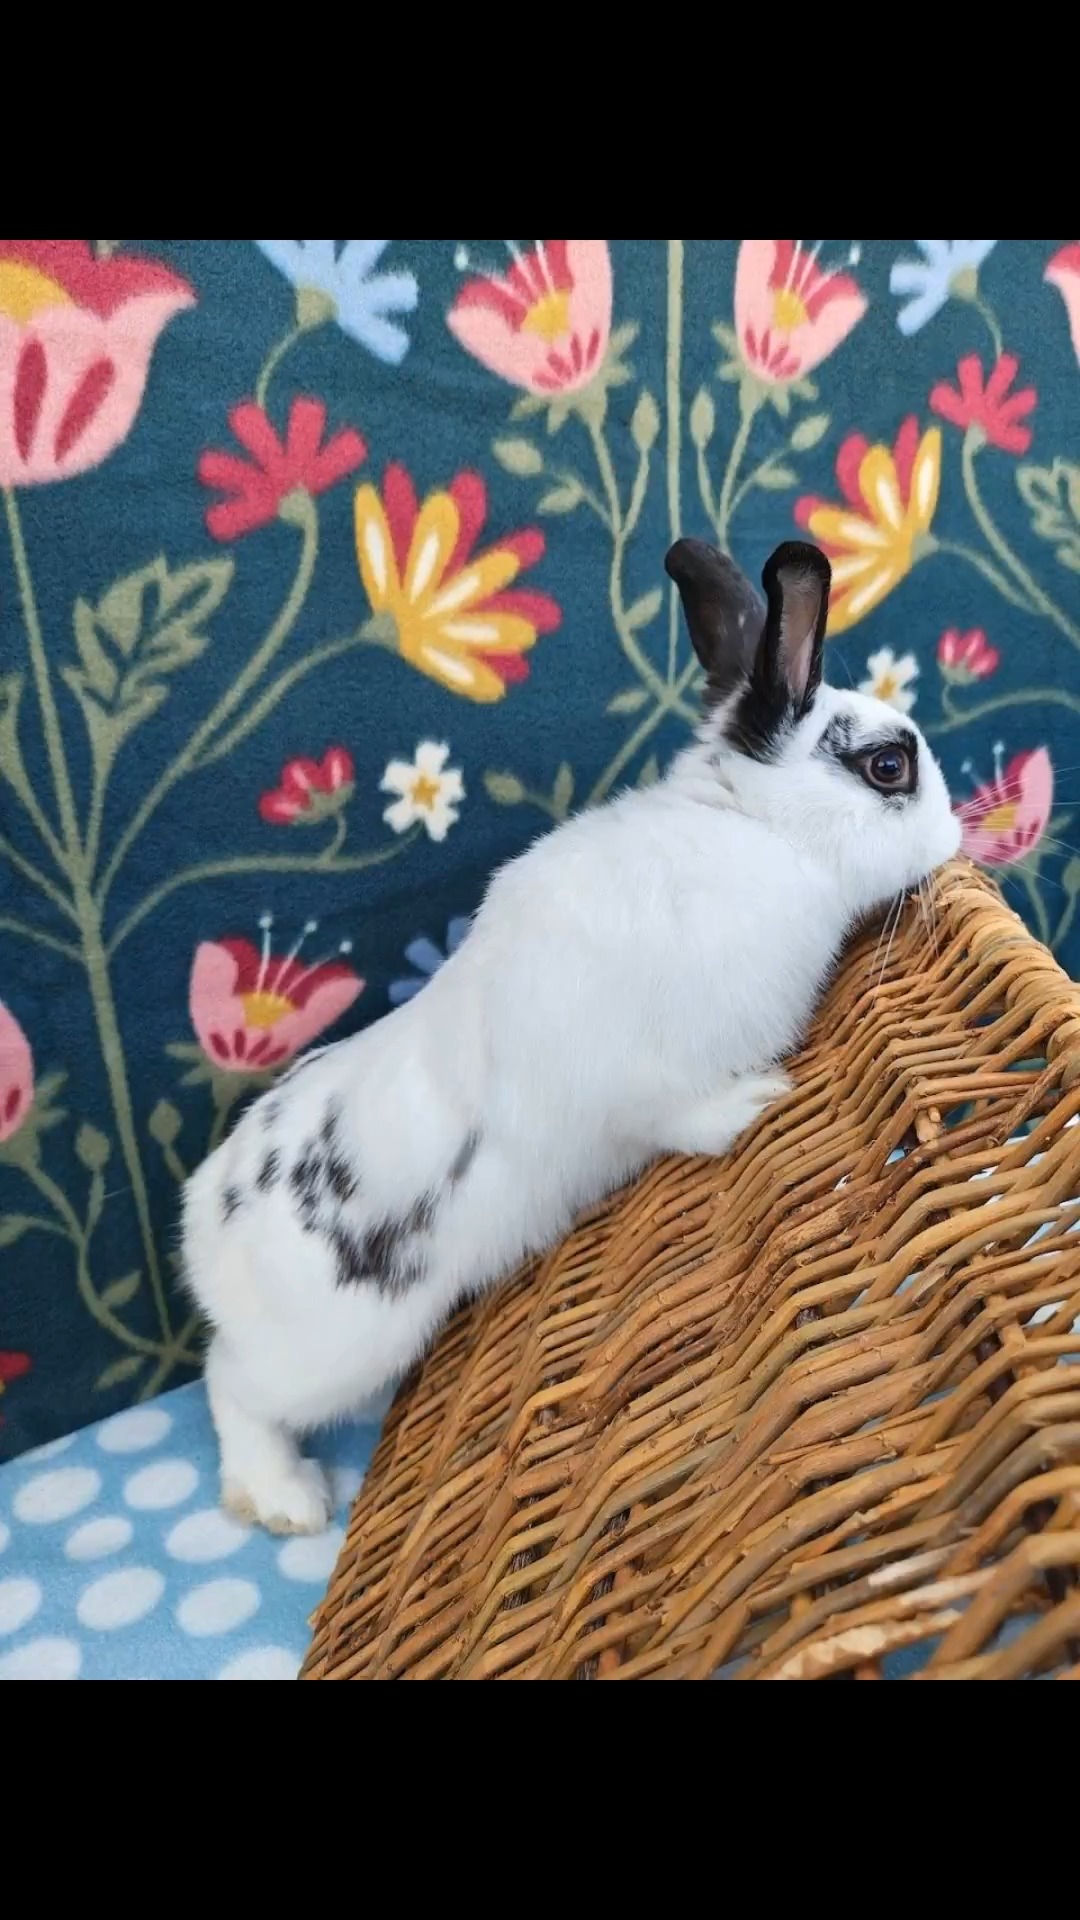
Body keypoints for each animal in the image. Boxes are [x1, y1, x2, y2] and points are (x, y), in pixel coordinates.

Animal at [181, 538, 962, 1534]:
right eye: (889, 768)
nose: (957, 835)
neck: (758, 834)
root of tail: (202, 1221)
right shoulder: (628, 1071)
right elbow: (676, 1112)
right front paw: (757, 1101)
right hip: (333, 1347)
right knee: (232, 1384)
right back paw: (286, 1499)